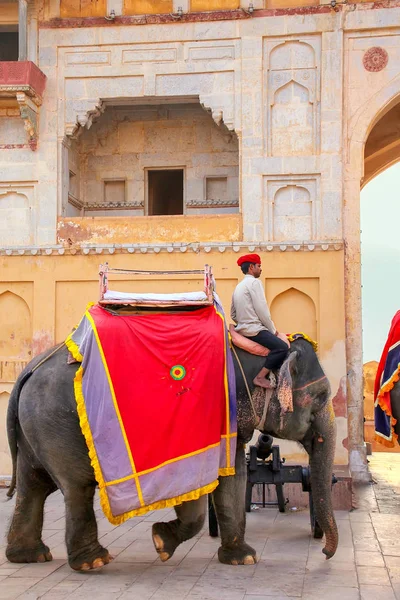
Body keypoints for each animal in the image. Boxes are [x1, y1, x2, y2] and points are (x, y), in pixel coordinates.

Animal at [6, 338, 338, 572]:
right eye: (321, 396)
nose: (324, 553)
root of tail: (28, 370)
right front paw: (161, 543)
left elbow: (233, 477)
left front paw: (242, 560)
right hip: (57, 422)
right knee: (76, 487)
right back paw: (93, 562)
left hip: (36, 426)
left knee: (34, 485)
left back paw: (30, 556)